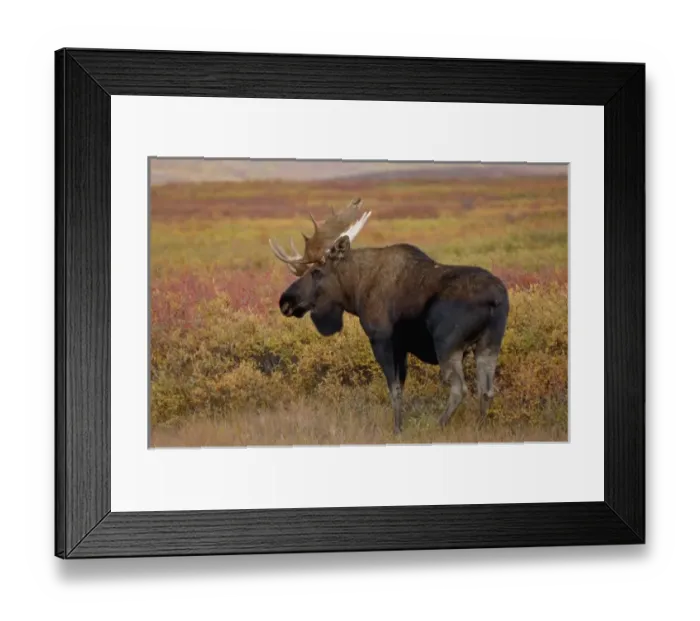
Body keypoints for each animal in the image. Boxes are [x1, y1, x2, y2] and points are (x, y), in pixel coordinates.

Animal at [269, 198, 509, 434]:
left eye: (316, 271)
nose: (285, 301)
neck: (356, 291)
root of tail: (496, 299)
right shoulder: (402, 347)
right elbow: (400, 387)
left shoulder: (382, 340)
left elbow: (394, 389)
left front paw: (397, 430)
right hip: (489, 345)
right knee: (486, 390)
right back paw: (479, 427)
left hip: (448, 345)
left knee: (460, 388)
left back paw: (438, 426)